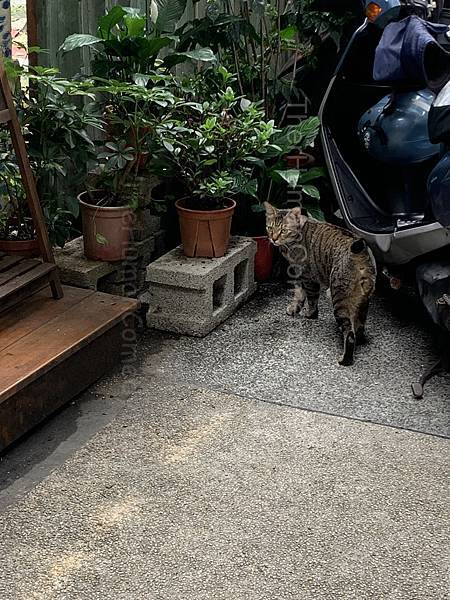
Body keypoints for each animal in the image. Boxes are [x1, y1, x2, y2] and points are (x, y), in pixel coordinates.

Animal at [266, 203, 378, 366]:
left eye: (283, 230)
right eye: (270, 228)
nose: (273, 239)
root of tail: (361, 253)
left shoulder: (308, 276)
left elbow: (311, 298)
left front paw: (310, 314)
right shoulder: (298, 273)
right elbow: (299, 294)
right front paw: (294, 308)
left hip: (338, 298)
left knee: (350, 335)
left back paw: (345, 359)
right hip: (362, 302)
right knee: (358, 329)